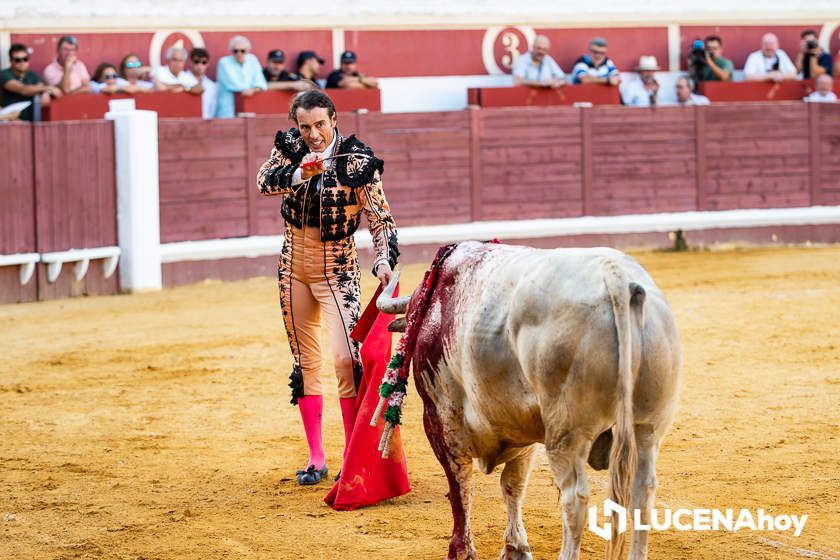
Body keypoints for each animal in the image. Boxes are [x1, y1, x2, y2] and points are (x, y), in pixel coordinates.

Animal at [378, 243, 680, 560]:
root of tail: (615, 276)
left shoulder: (441, 416)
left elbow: (461, 486)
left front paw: (461, 550)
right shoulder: (522, 432)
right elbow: (512, 485)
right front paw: (516, 548)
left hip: (566, 433)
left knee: (575, 498)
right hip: (648, 427)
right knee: (642, 491)